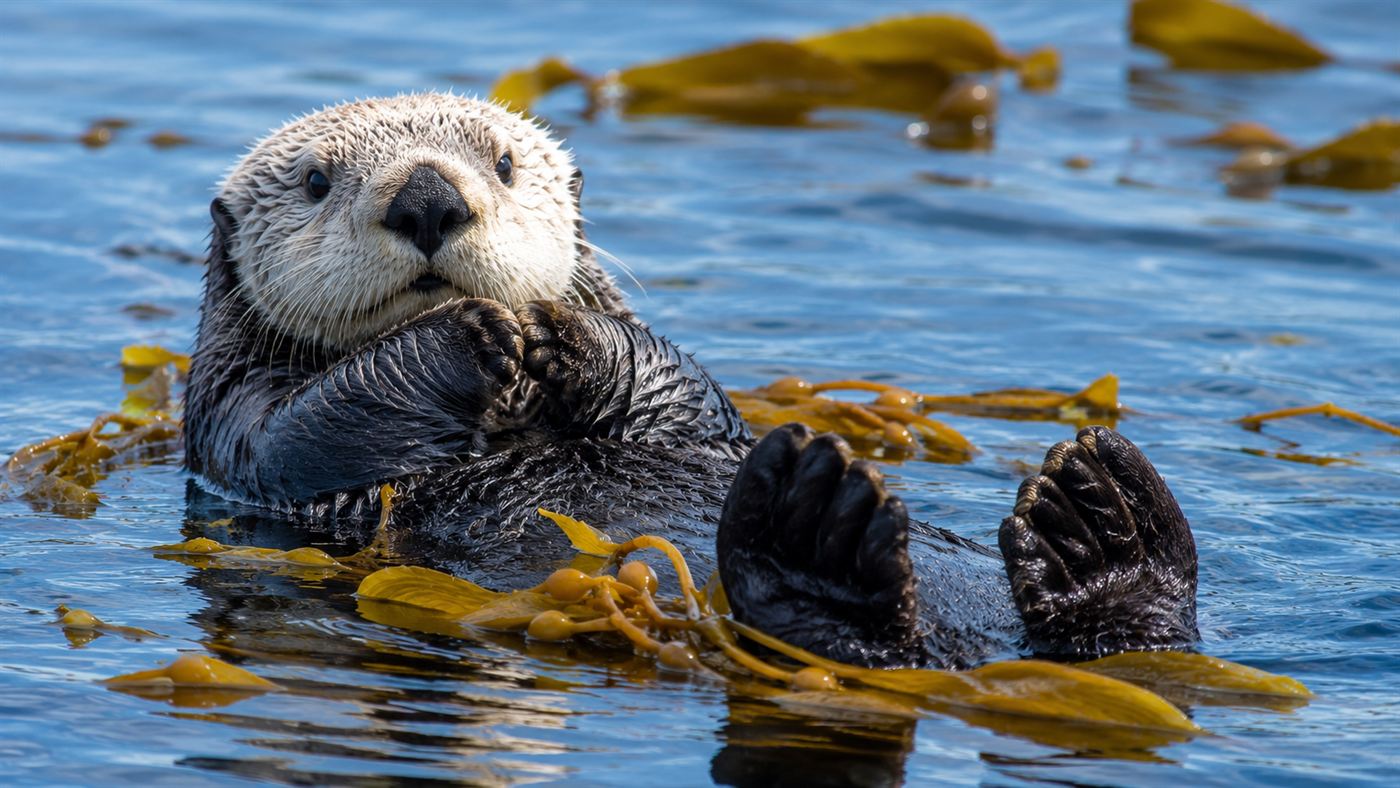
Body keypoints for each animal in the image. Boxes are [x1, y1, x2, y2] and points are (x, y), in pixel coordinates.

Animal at [184, 93, 1199, 668]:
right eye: (317, 183)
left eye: (503, 165)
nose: (428, 198)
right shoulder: (239, 422)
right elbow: (317, 425)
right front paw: (472, 334)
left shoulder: (688, 403)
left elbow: (678, 382)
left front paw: (560, 332)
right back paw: (820, 527)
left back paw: (1100, 510)